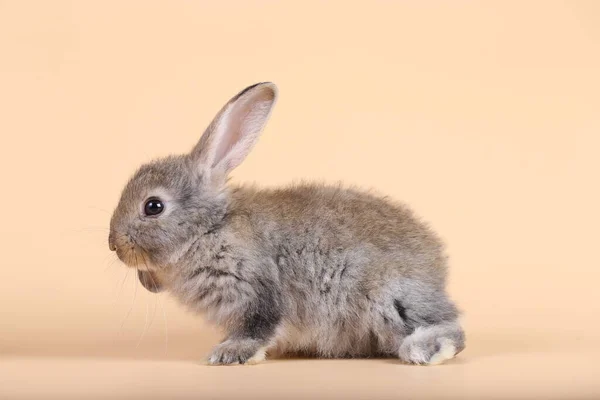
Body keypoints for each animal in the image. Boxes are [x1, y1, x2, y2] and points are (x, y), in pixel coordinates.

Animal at [110, 81, 466, 366]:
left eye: (153, 206)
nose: (114, 244)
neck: (209, 228)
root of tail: (439, 271)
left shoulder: (258, 289)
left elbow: (258, 326)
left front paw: (229, 353)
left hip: (390, 299)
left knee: (452, 330)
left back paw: (424, 349)